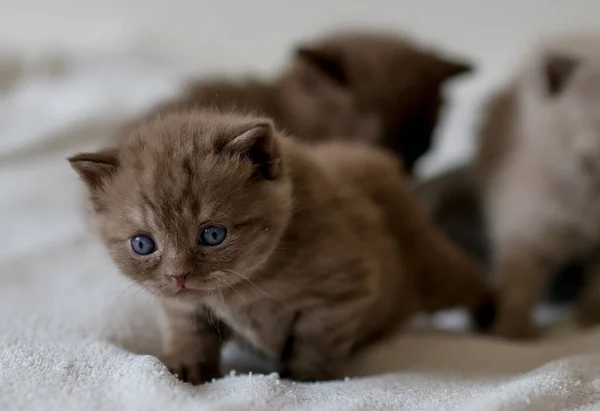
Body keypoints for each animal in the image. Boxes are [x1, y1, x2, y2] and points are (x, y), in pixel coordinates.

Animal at [70, 111, 492, 384]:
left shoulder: (341, 293)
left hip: (433, 272)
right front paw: (187, 370)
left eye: (212, 235)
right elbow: (188, 330)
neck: (241, 289)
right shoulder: (184, 305)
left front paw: (305, 379)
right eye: (143, 244)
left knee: (470, 277)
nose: (179, 275)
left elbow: (315, 340)